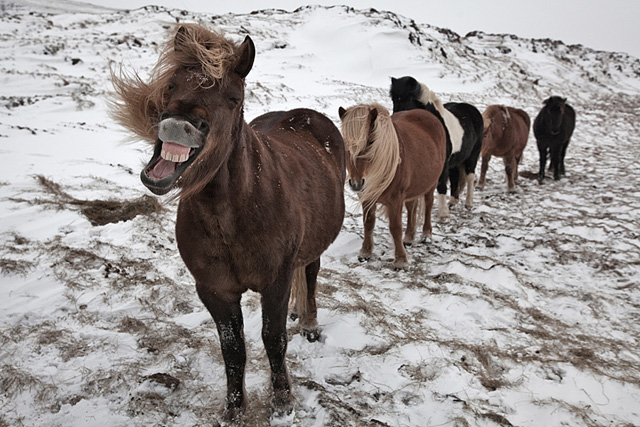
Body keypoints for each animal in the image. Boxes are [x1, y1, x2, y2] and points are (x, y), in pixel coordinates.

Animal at [112, 25, 348, 422]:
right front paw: (233, 409)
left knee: (311, 275)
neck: (232, 215)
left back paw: (309, 323)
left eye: (233, 98)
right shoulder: (214, 290)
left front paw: (282, 402)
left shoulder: (275, 281)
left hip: (314, 247)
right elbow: (232, 349)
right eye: (171, 84)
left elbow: (274, 339)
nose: (178, 126)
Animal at [340, 103, 444, 268]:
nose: (356, 183)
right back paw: (409, 237)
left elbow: (395, 228)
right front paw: (365, 253)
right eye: (346, 143)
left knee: (428, 205)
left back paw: (426, 235)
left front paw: (400, 260)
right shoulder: (367, 197)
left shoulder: (395, 200)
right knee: (411, 208)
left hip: (431, 183)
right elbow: (368, 223)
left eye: (370, 141)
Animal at [388, 76, 482, 221]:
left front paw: (443, 214)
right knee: (455, 177)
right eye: (394, 99)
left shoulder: (442, 163)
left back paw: (468, 203)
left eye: (408, 99)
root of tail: (472, 109)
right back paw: (452, 201)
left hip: (473, 155)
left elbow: (441, 184)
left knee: (470, 177)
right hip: (455, 161)